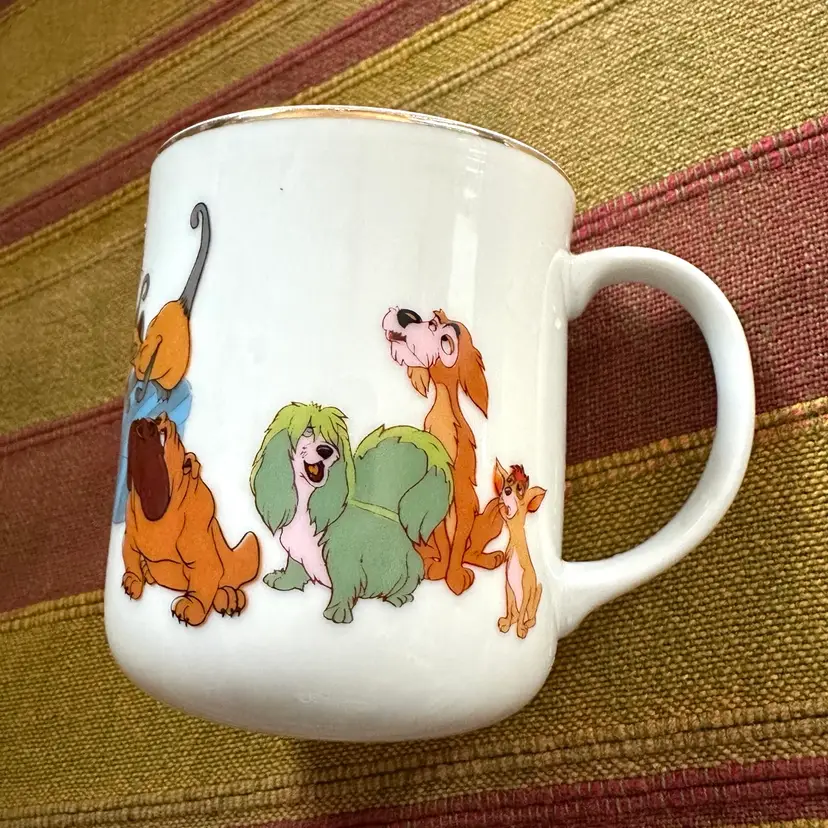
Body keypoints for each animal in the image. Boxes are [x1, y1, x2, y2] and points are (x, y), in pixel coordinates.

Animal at [122, 413, 261, 626]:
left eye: (159, 429)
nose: (141, 419)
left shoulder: (202, 555)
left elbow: (203, 581)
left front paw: (193, 605)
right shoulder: (129, 537)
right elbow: (130, 560)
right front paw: (134, 579)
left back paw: (228, 595)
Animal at [250, 403, 453, 623]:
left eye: (332, 440)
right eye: (308, 430)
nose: (325, 450)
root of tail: (394, 519)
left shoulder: (344, 560)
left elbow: (344, 586)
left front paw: (337, 612)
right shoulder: (295, 552)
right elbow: (294, 567)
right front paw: (283, 581)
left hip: (412, 566)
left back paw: (397, 597)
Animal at [382, 307, 504, 595]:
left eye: (445, 339)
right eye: (432, 319)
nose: (407, 315)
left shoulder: (463, 500)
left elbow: (457, 544)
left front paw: (455, 577)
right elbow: (443, 543)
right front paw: (441, 570)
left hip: (494, 511)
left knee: (470, 549)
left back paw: (486, 559)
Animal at [493, 461, 545, 638]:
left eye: (520, 489)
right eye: (508, 481)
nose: (507, 491)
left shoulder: (527, 589)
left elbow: (521, 613)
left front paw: (520, 630)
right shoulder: (508, 587)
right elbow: (510, 610)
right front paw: (507, 623)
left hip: (536, 593)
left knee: (531, 617)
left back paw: (526, 624)